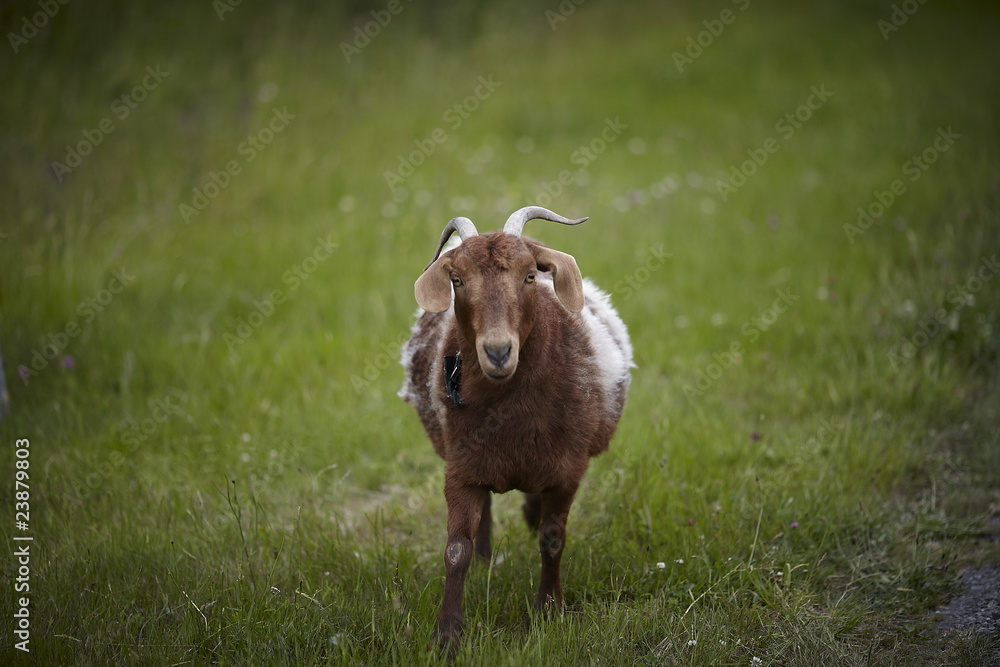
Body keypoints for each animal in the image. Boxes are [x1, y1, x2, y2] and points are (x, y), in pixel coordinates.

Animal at [398, 206, 633, 651]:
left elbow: (552, 540)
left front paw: (548, 612)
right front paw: (447, 636)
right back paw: (487, 559)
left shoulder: (567, 470)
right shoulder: (462, 470)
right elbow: (456, 551)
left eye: (529, 276)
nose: (497, 352)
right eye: (456, 280)